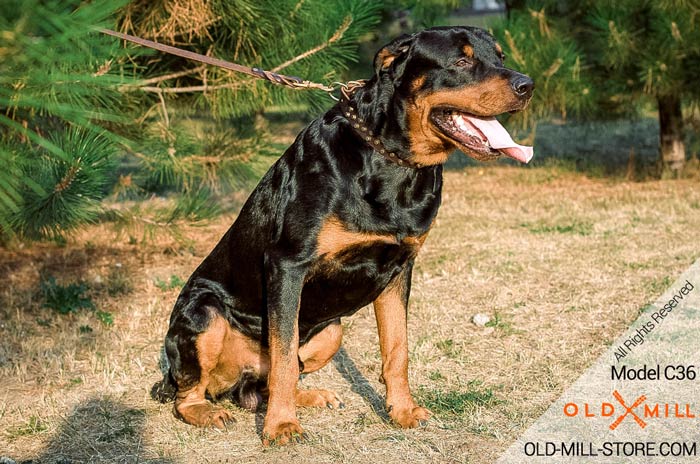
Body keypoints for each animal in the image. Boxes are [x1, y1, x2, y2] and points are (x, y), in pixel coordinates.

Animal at [153, 26, 532, 446]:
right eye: (462, 61)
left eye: (499, 57)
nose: (527, 85)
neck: (392, 162)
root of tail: (239, 383)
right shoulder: (288, 264)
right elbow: (284, 358)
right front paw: (280, 427)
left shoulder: (400, 269)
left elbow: (396, 349)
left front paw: (403, 412)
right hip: (203, 312)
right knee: (193, 391)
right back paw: (211, 412)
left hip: (331, 330)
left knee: (266, 383)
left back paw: (309, 396)